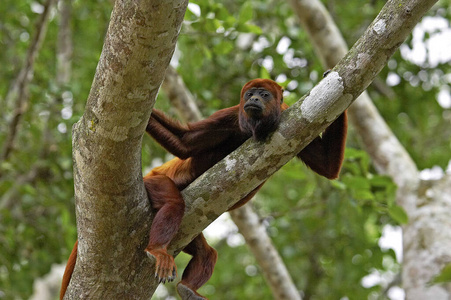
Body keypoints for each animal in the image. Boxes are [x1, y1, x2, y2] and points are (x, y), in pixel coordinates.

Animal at [61, 78, 350, 298]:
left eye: (264, 94)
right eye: (250, 93)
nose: (254, 99)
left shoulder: (289, 115)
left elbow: (327, 167)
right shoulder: (232, 115)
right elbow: (186, 143)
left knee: (206, 253)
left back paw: (188, 289)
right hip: (152, 183)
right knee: (174, 204)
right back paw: (157, 249)